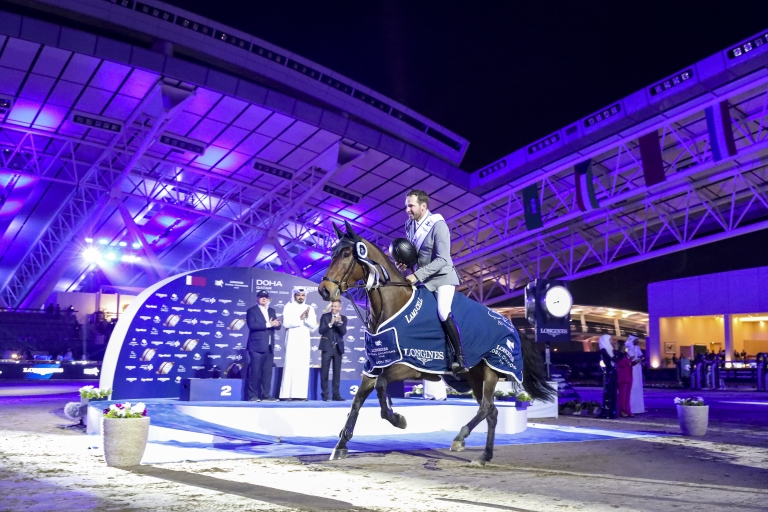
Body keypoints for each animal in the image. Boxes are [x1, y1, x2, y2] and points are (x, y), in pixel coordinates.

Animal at [316, 222, 556, 466]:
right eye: (333, 253)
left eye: (346, 254)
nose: (324, 290)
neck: (392, 306)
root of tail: (512, 326)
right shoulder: (374, 365)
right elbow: (356, 401)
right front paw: (341, 445)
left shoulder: (410, 365)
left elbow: (382, 387)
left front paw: (398, 418)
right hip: (475, 376)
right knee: (492, 412)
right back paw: (484, 455)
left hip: (491, 370)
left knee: (486, 407)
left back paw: (460, 438)